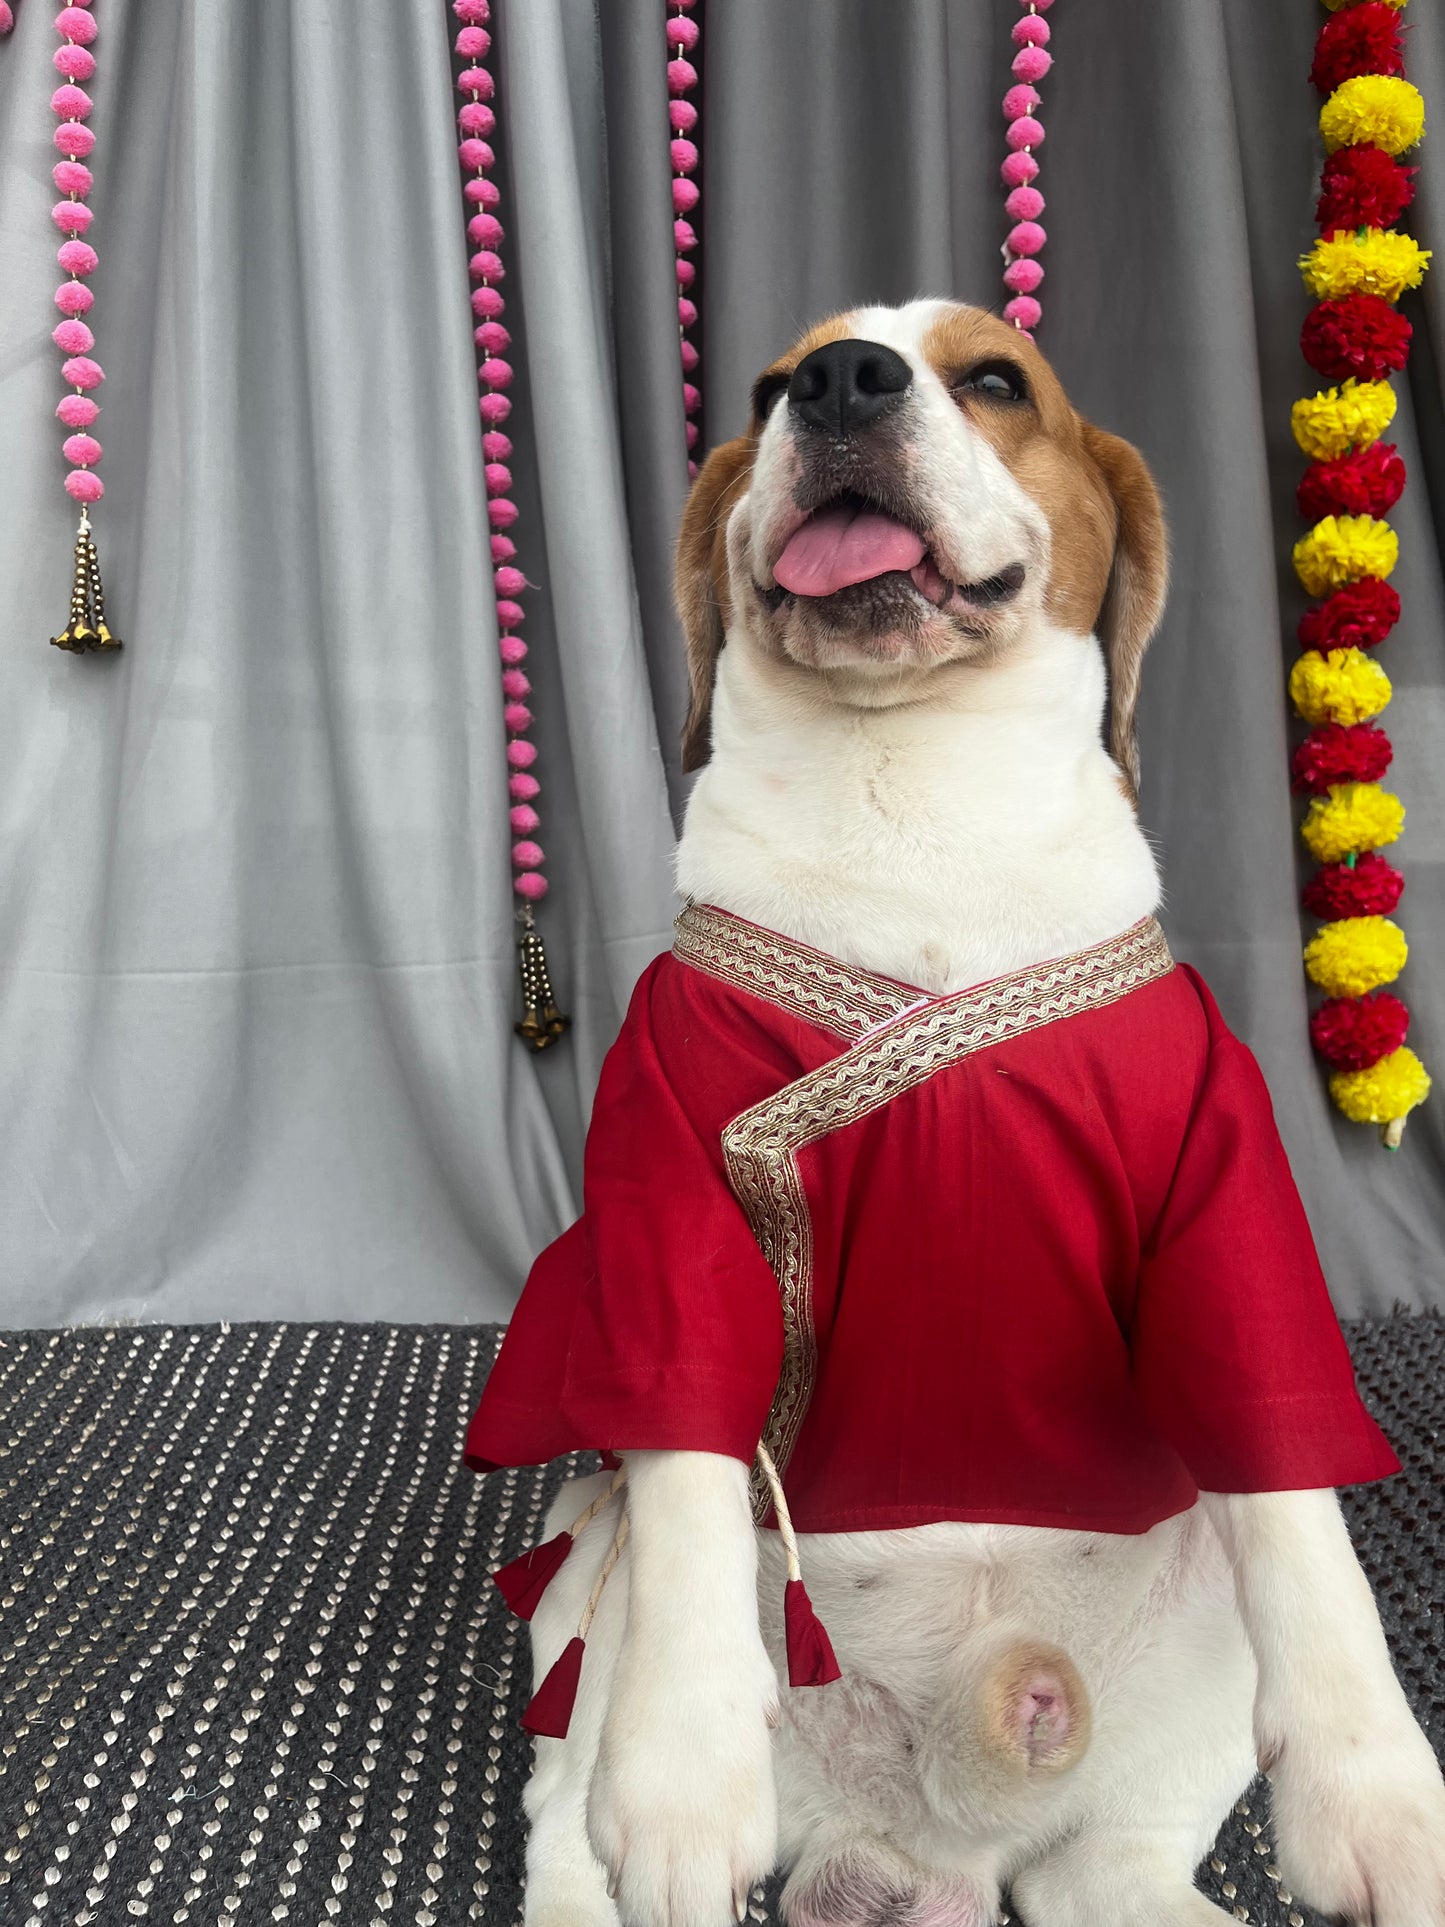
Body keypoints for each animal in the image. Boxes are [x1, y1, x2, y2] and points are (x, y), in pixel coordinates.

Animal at [516, 300, 1441, 1927]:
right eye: (767, 386)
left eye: (996, 379)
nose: (838, 384)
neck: (913, 784)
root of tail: (931, 1822)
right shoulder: (671, 1187)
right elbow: (683, 1452)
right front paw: (687, 1764)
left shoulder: (1218, 1185)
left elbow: (1296, 1497)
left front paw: (1370, 1784)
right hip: (581, 1605)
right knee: (566, 1817)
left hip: (1171, 1711)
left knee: (1099, 1873)